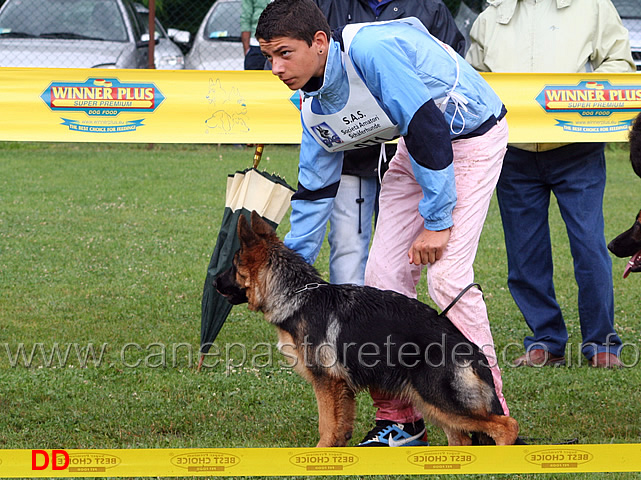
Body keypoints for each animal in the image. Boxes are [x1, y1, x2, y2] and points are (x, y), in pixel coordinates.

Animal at [215, 212, 520, 448]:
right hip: (431, 403)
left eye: (233, 265)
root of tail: (473, 350)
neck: (298, 294)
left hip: (439, 399)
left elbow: (326, 425)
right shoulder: (342, 388)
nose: (214, 281)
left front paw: (319, 453)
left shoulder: (326, 383)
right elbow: (341, 426)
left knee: (507, 426)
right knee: (463, 438)